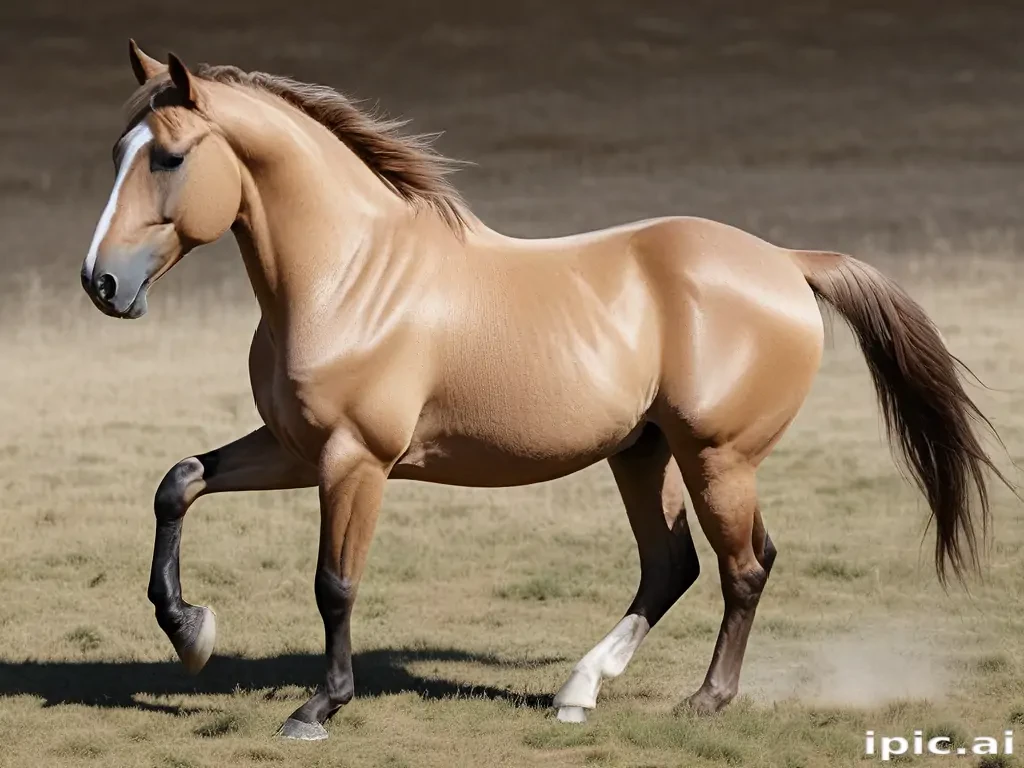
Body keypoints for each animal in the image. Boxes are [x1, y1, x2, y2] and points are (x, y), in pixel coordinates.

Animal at [80, 40, 1010, 740]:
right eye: (117, 154)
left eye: (169, 158)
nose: (101, 284)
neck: (348, 275)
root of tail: (785, 262)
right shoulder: (295, 448)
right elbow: (178, 483)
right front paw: (191, 633)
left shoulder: (356, 460)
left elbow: (334, 582)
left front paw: (317, 708)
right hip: (644, 455)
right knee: (673, 565)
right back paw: (579, 691)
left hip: (718, 457)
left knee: (743, 568)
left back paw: (704, 700)